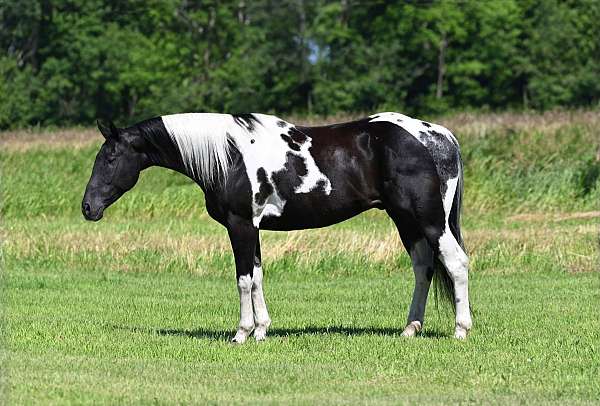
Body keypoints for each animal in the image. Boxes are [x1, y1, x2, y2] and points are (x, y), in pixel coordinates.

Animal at [81, 111, 474, 342]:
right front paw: (261, 331)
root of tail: (439, 136)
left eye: (111, 157)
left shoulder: (240, 224)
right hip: (406, 220)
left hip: (429, 220)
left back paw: (460, 330)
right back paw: (410, 329)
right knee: (423, 268)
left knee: (456, 263)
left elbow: (243, 279)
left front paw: (241, 334)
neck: (228, 155)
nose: (88, 207)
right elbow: (257, 276)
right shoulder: (252, 228)